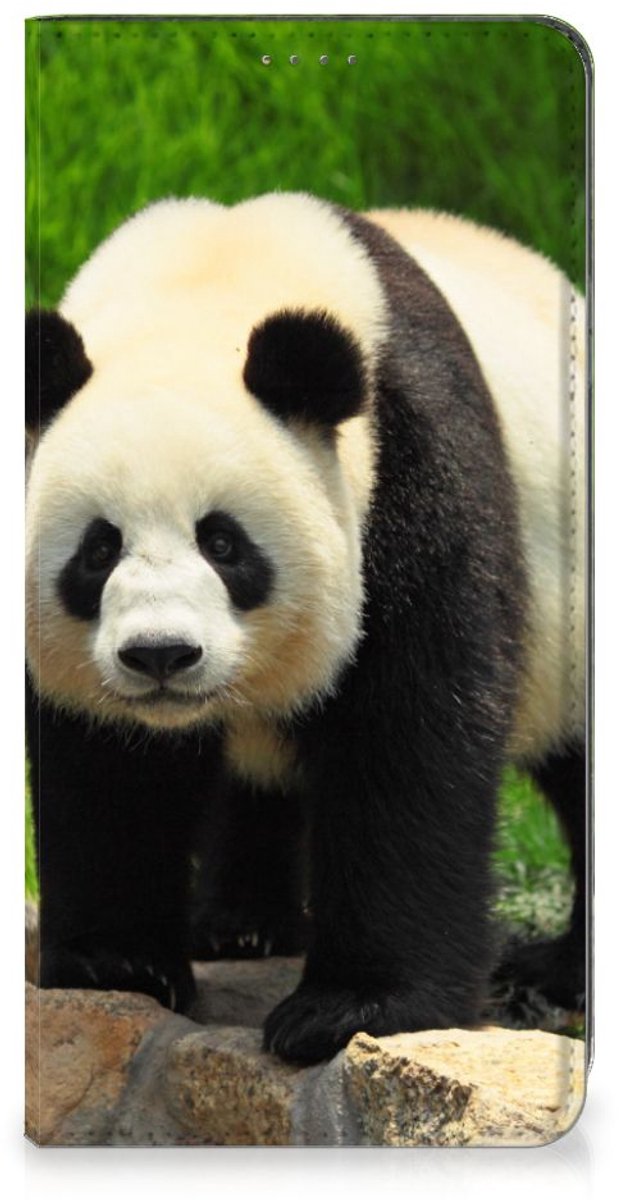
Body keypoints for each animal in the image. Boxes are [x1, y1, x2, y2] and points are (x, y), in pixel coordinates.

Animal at [25, 192, 587, 1065]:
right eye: (99, 548)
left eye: (223, 543)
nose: (161, 655)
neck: (206, 285)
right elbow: (106, 764)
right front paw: (115, 965)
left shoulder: (410, 469)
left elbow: (409, 734)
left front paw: (352, 1008)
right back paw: (239, 925)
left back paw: (556, 973)